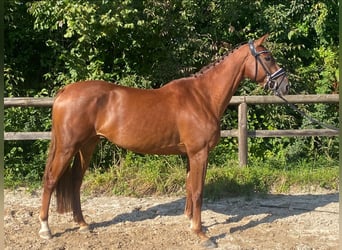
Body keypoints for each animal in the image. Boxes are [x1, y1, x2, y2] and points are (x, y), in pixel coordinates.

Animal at [38, 34, 288, 247]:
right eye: (268, 57)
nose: (285, 84)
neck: (203, 97)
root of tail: (65, 91)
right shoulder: (199, 153)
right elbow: (198, 191)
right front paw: (201, 234)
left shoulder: (190, 154)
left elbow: (190, 187)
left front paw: (191, 223)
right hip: (67, 147)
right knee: (50, 180)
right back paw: (45, 229)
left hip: (87, 146)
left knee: (75, 182)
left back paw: (82, 224)